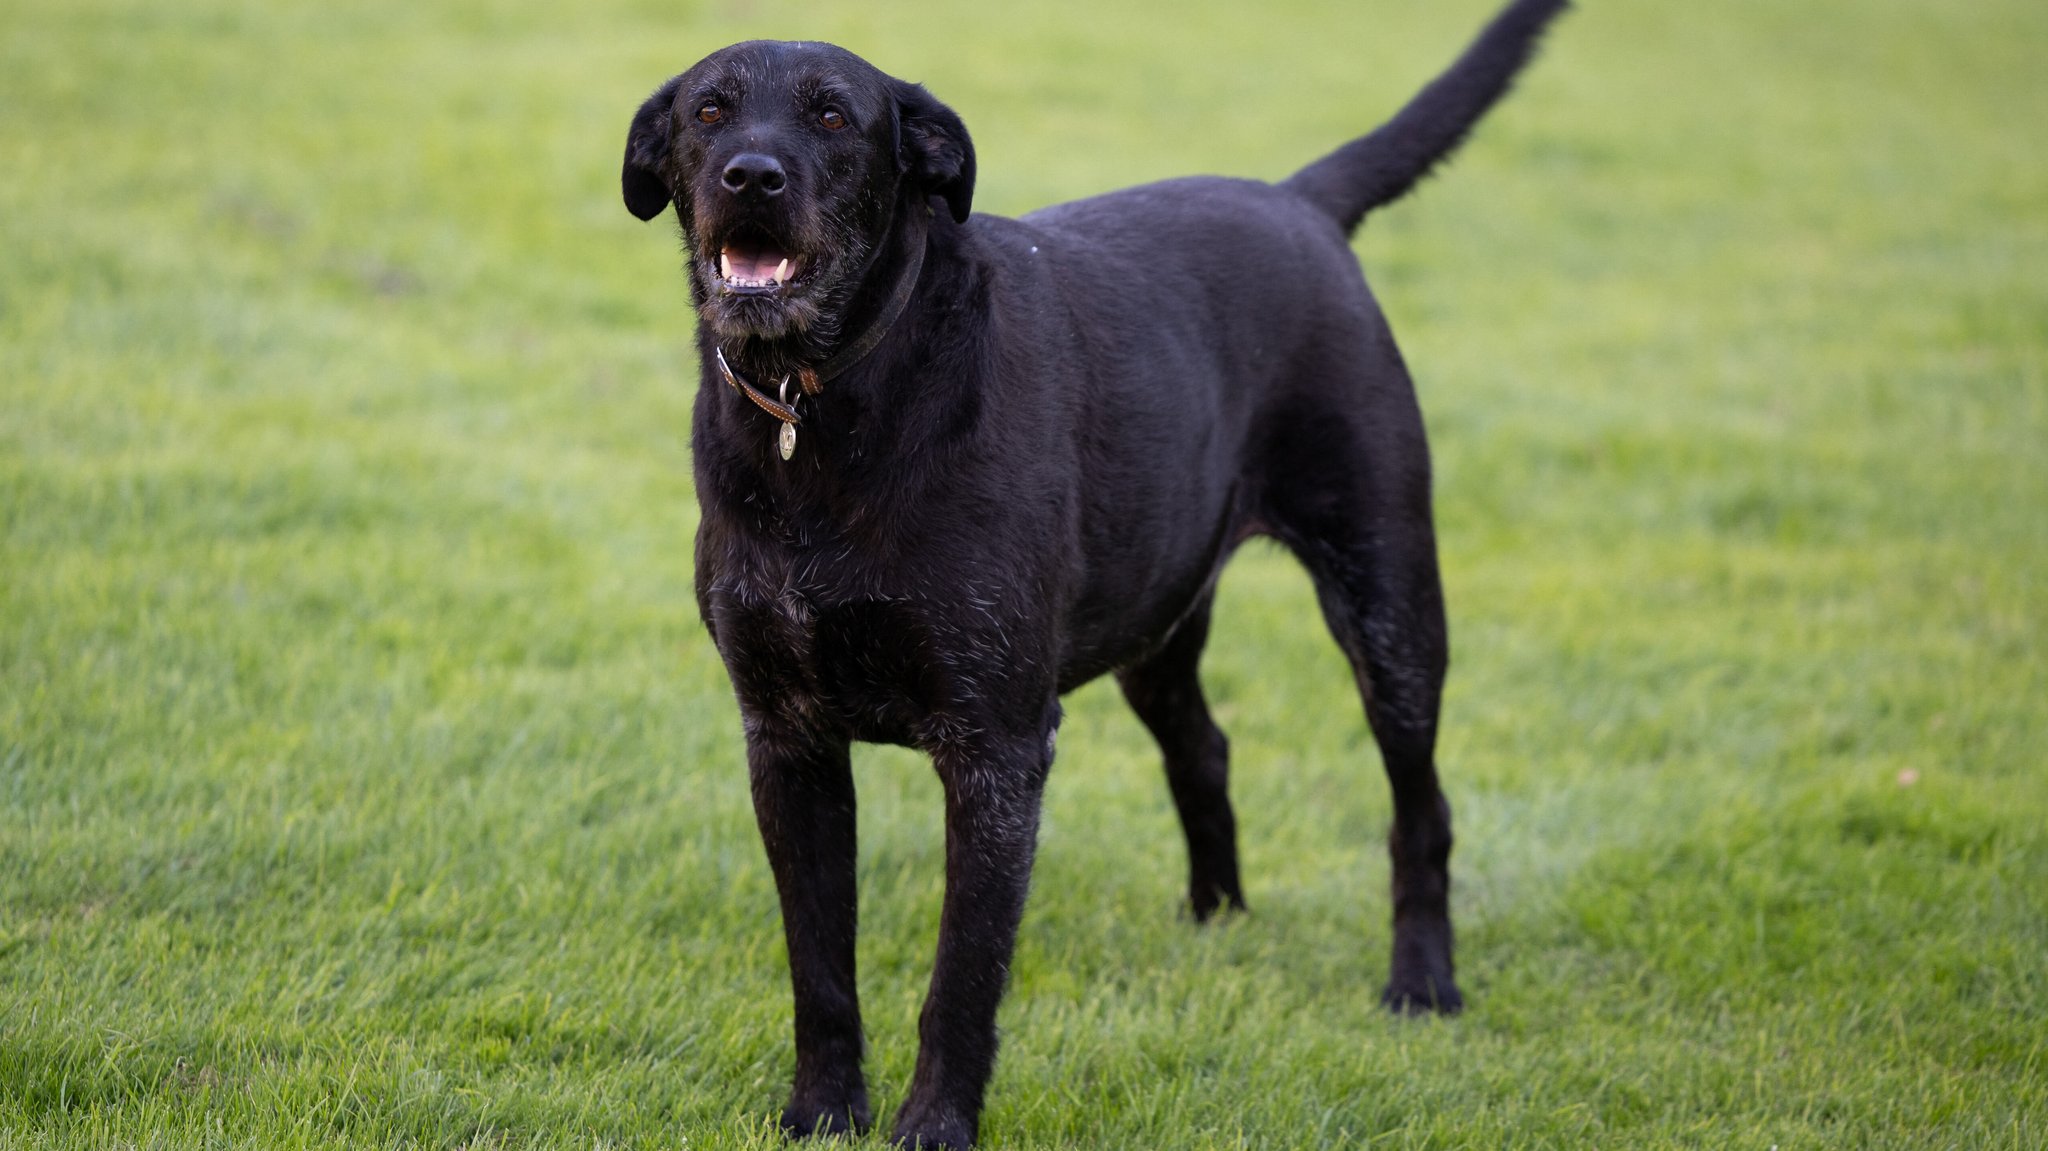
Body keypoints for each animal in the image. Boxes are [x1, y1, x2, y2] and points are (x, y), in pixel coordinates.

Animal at [622, 0, 1564, 1138]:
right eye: (709, 110)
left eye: (835, 115)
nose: (751, 176)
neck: (825, 403)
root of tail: (1298, 202)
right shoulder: (786, 739)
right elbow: (819, 962)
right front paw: (821, 1111)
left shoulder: (996, 749)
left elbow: (961, 974)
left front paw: (933, 1124)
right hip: (1157, 627)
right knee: (1205, 748)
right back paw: (1215, 920)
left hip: (1388, 608)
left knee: (1420, 806)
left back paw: (1421, 984)